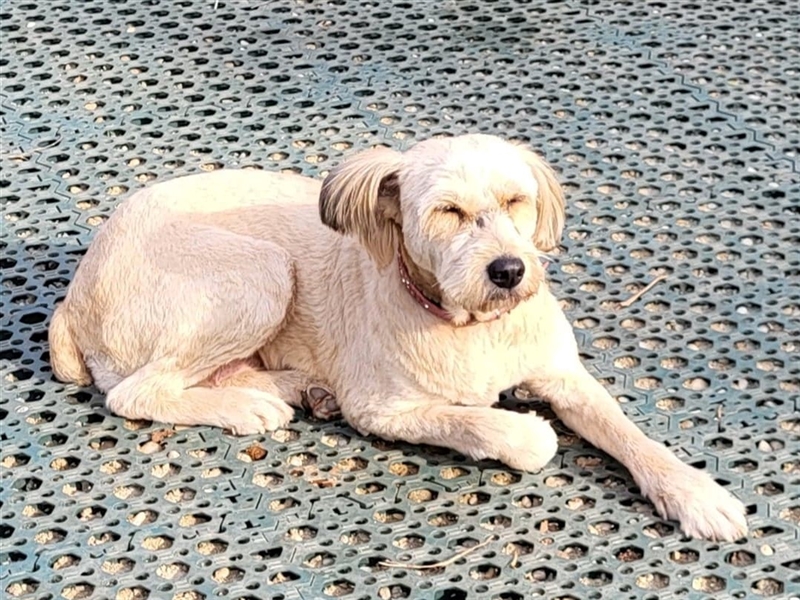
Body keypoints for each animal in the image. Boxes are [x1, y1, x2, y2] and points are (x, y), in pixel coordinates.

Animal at [49, 133, 747, 541]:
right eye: (447, 213)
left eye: (515, 202)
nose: (509, 270)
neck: (473, 326)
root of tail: (74, 294)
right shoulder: (381, 408)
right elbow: (488, 425)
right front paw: (521, 431)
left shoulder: (564, 375)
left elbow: (632, 435)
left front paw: (696, 493)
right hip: (257, 272)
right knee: (136, 393)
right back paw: (246, 405)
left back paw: (287, 387)